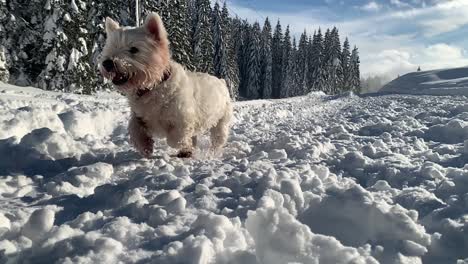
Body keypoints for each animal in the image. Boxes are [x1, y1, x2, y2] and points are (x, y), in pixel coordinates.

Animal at [100, 12, 232, 158]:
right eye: (111, 47)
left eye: (134, 49)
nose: (107, 63)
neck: (153, 86)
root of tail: (221, 81)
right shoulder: (140, 115)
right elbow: (135, 129)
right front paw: (145, 146)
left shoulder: (182, 119)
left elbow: (175, 138)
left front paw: (183, 147)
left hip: (221, 120)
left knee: (218, 138)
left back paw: (210, 151)